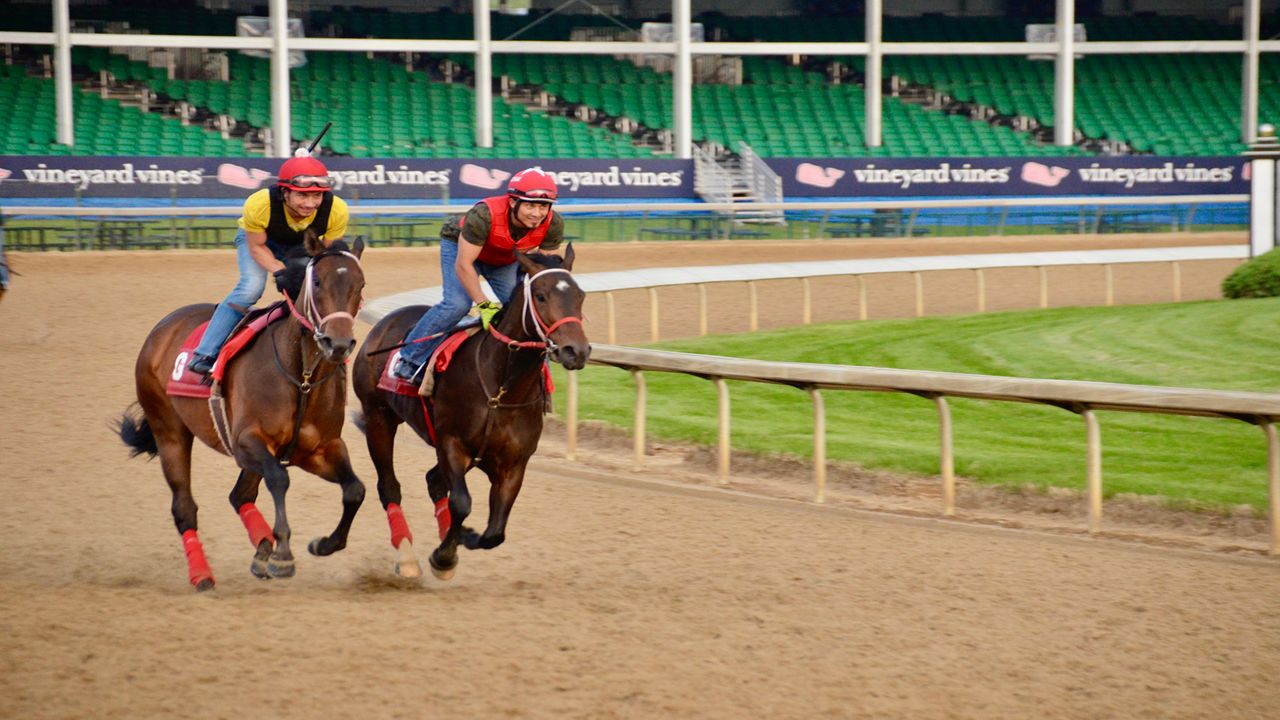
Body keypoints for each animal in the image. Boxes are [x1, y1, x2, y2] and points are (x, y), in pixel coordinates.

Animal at [117, 230, 366, 589]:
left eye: (360, 284)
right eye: (317, 280)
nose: (339, 343)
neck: (302, 377)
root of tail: (163, 327)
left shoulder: (319, 449)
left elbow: (355, 490)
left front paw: (323, 544)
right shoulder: (247, 441)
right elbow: (279, 479)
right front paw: (283, 554)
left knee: (239, 496)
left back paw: (261, 547)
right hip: (169, 431)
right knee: (185, 507)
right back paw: (203, 574)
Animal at [350, 245, 588, 576]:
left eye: (580, 295)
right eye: (540, 296)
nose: (576, 351)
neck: (501, 388)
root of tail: (384, 324)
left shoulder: (513, 464)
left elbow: (494, 533)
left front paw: (460, 539)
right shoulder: (452, 443)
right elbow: (462, 503)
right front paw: (444, 554)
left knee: (434, 481)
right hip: (378, 418)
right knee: (390, 487)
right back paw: (407, 556)